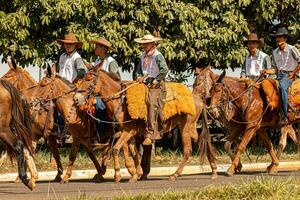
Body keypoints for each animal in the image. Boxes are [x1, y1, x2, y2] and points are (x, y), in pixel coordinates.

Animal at [76, 69, 218, 182]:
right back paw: (214, 170)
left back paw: (175, 175)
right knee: (204, 142)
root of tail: (199, 99)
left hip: (186, 128)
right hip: (191, 128)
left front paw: (118, 175)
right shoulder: (129, 133)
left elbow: (116, 149)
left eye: (89, 79)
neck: (120, 101)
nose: (77, 98)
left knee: (188, 150)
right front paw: (136, 174)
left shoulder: (128, 131)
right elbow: (133, 152)